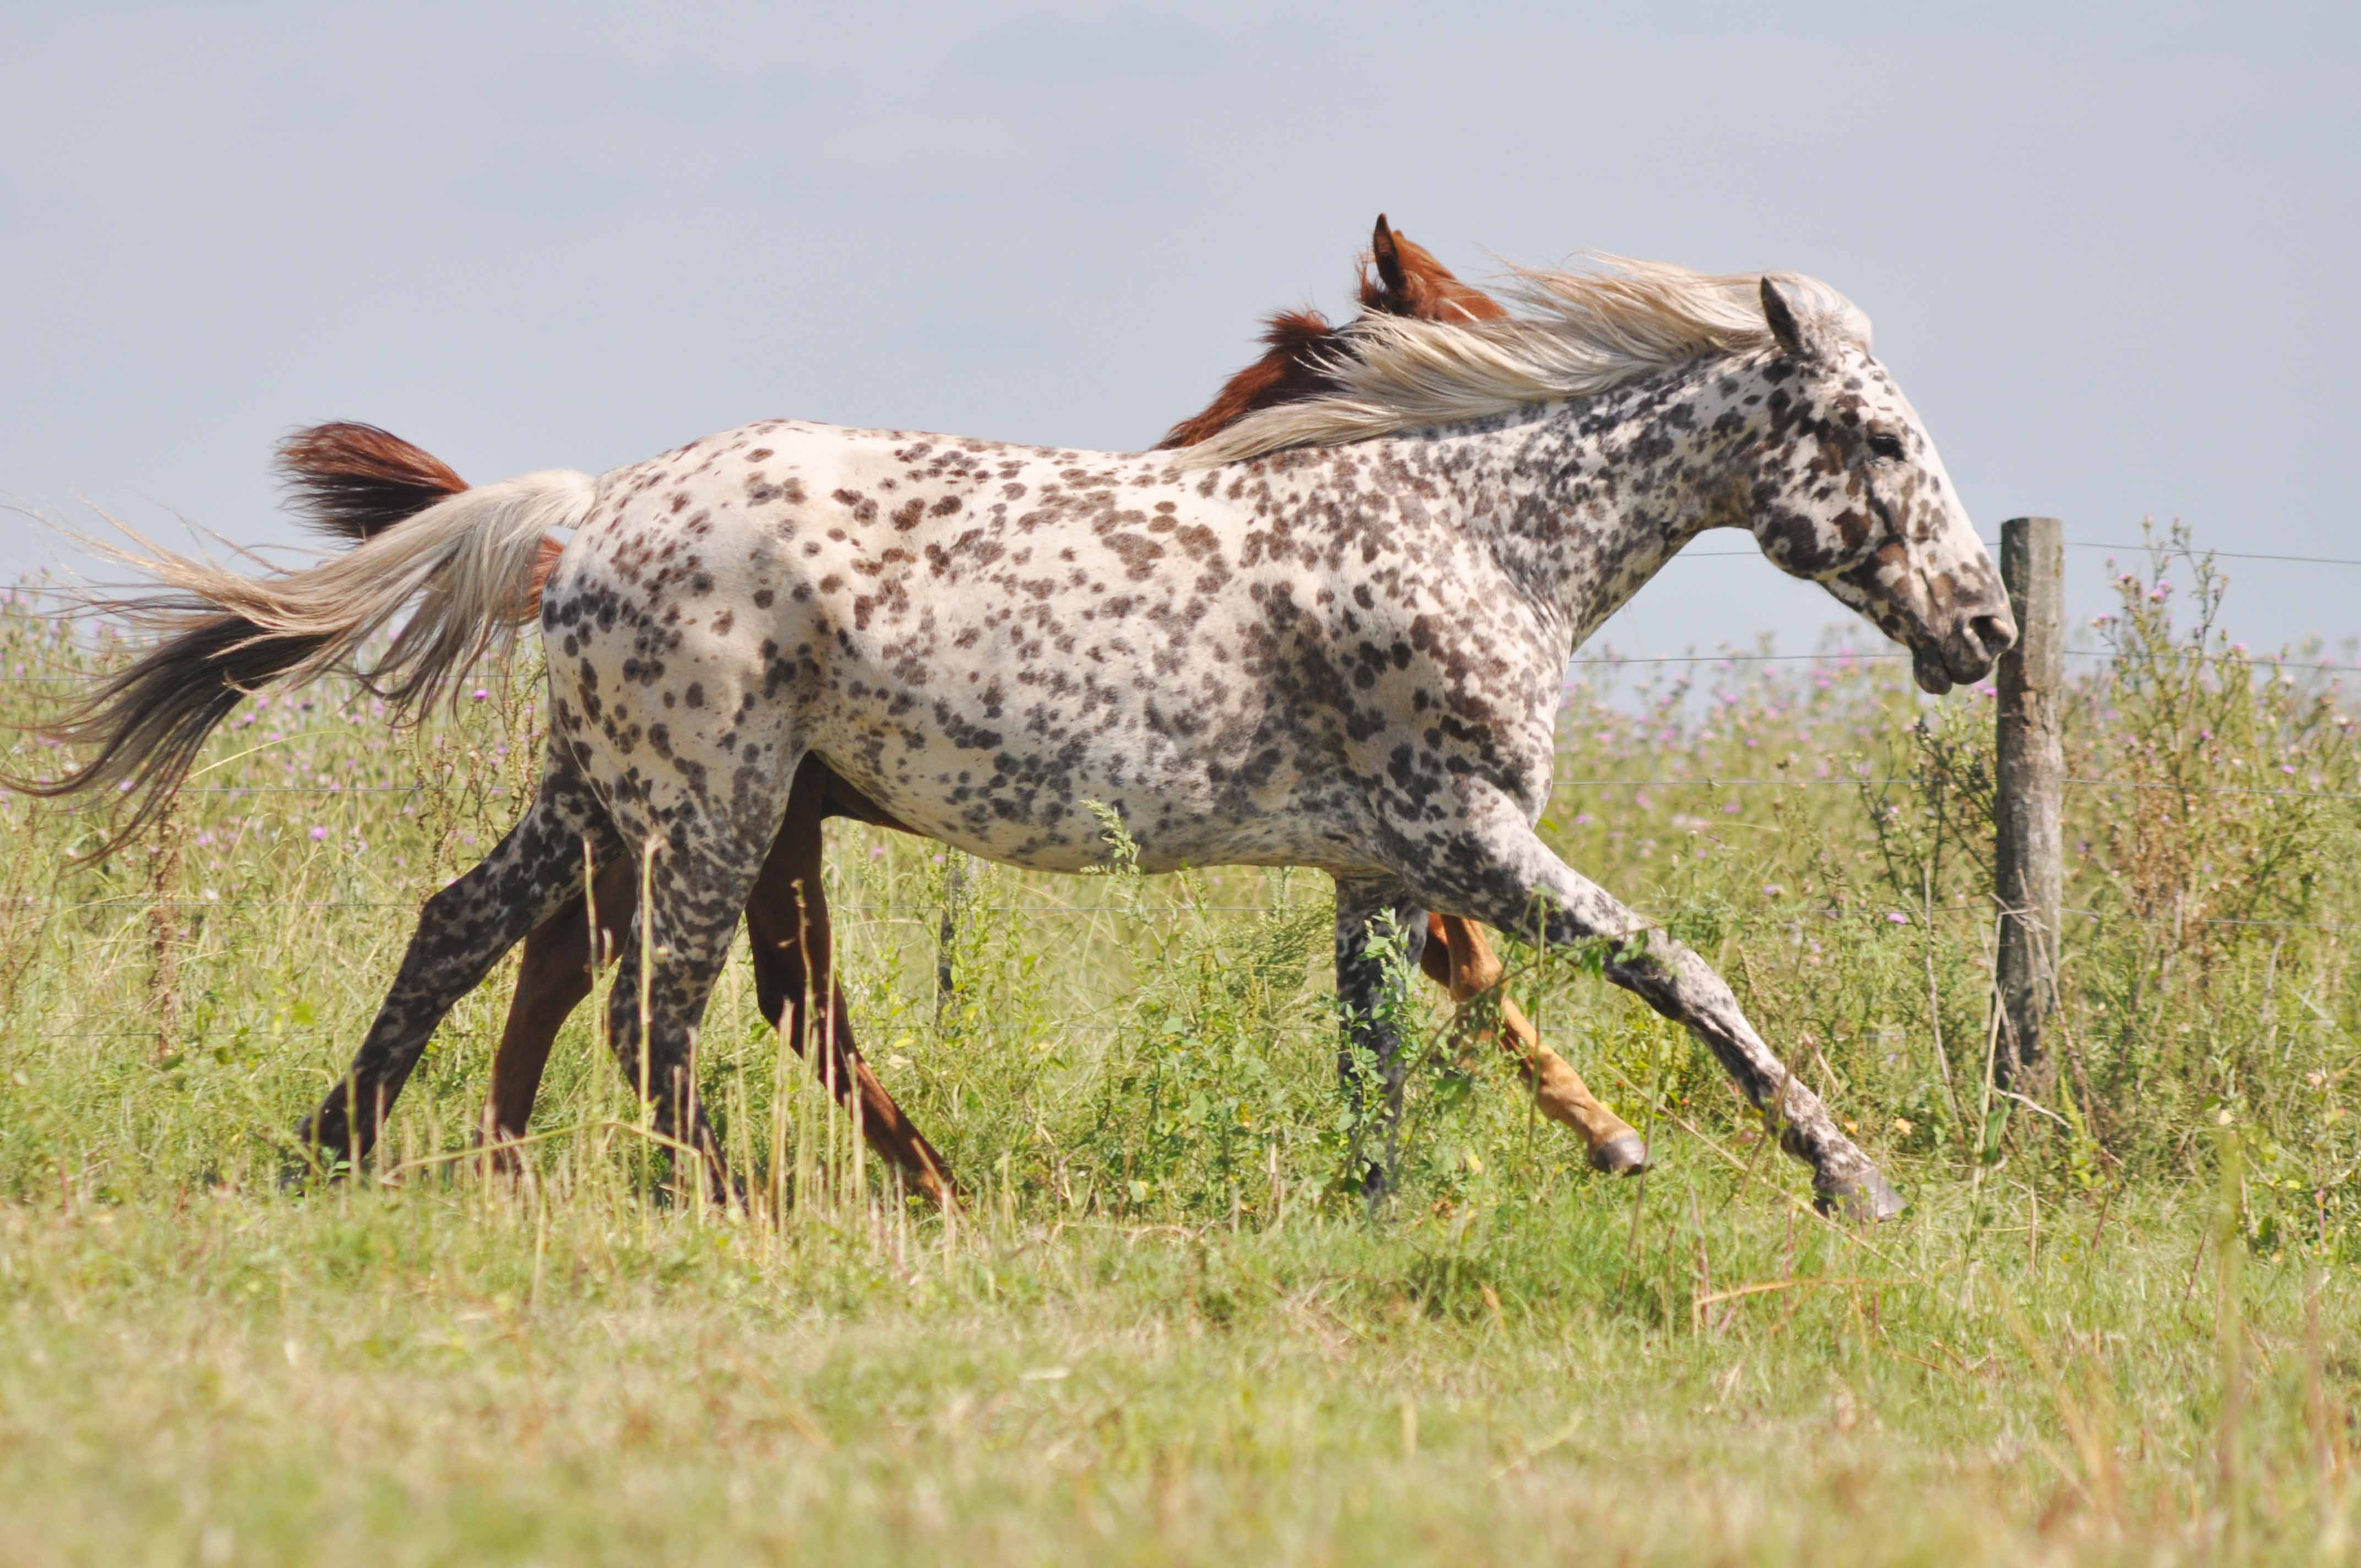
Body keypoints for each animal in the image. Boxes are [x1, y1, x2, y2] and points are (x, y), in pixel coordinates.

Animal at [28, 251, 2011, 1218]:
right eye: (1878, 441)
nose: (1983, 629)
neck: (1474, 536)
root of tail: (588, 517)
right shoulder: (1467, 836)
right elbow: (1679, 972)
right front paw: (1849, 1179)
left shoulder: (1379, 866)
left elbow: (1378, 1048)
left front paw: (1384, 1212)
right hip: (714, 809)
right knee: (652, 1017)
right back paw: (740, 1202)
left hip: (600, 790)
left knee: (466, 936)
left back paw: (341, 1149)